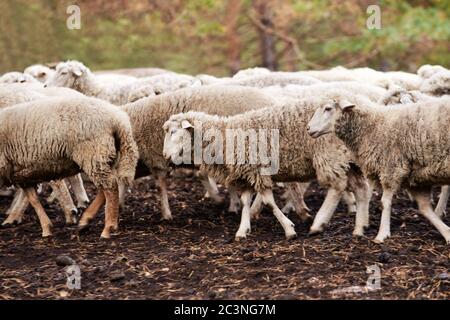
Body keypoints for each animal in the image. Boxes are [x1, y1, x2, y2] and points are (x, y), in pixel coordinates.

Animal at [0, 96, 138, 239]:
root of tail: (118, 119)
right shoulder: (22, 175)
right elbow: (34, 200)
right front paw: (46, 228)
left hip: (93, 153)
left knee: (110, 188)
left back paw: (108, 228)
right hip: (105, 157)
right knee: (107, 186)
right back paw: (85, 222)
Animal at [308, 94, 450, 244]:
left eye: (328, 108)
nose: (308, 128)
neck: (373, 126)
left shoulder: (391, 168)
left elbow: (385, 202)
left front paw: (382, 234)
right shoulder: (415, 176)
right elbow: (424, 208)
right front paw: (447, 233)